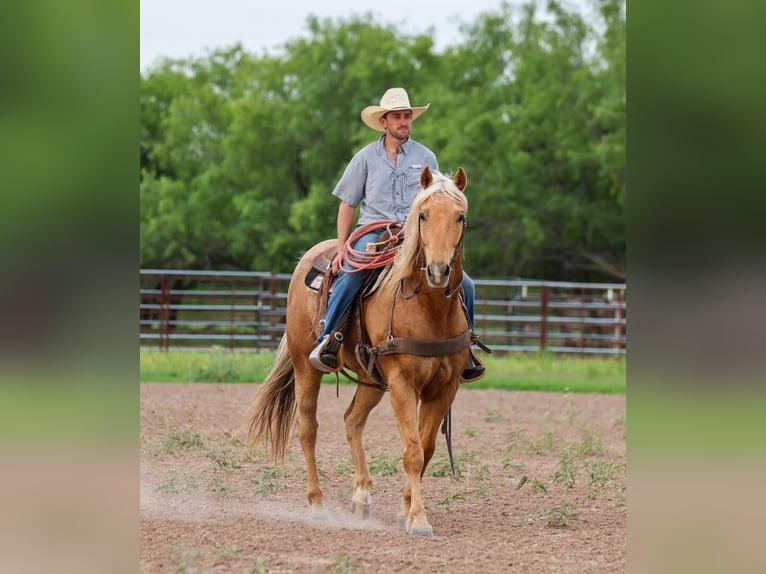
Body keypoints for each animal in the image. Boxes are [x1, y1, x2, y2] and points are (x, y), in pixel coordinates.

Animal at [245, 166, 472, 538]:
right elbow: (412, 452)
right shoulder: (402, 382)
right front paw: (419, 520)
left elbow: (425, 448)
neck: (428, 309)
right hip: (306, 367)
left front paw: (405, 512)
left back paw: (361, 499)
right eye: (423, 215)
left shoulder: (445, 387)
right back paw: (318, 505)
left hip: (371, 380)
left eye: (460, 217)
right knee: (308, 428)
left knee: (352, 421)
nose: (438, 271)